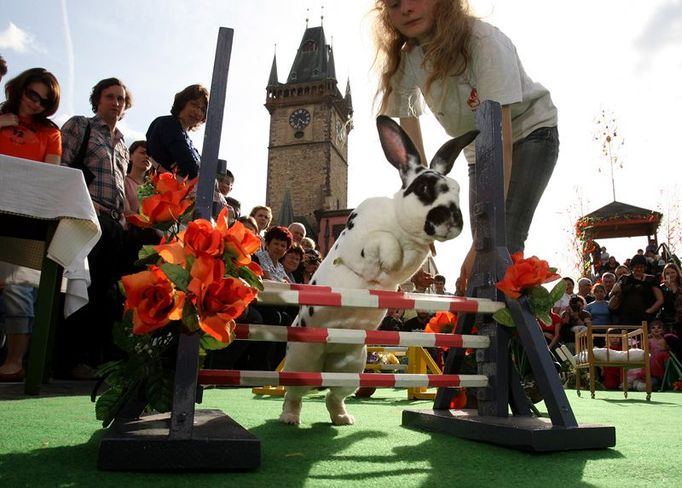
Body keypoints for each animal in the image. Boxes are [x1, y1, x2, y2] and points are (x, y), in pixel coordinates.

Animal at [278, 116, 478, 426]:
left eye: (457, 189)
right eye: (424, 188)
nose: (454, 222)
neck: (400, 224)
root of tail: (326, 356)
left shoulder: (410, 263)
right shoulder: (363, 241)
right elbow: (382, 243)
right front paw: (385, 258)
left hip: (352, 365)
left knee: (333, 395)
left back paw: (344, 419)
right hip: (301, 359)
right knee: (294, 394)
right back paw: (289, 418)